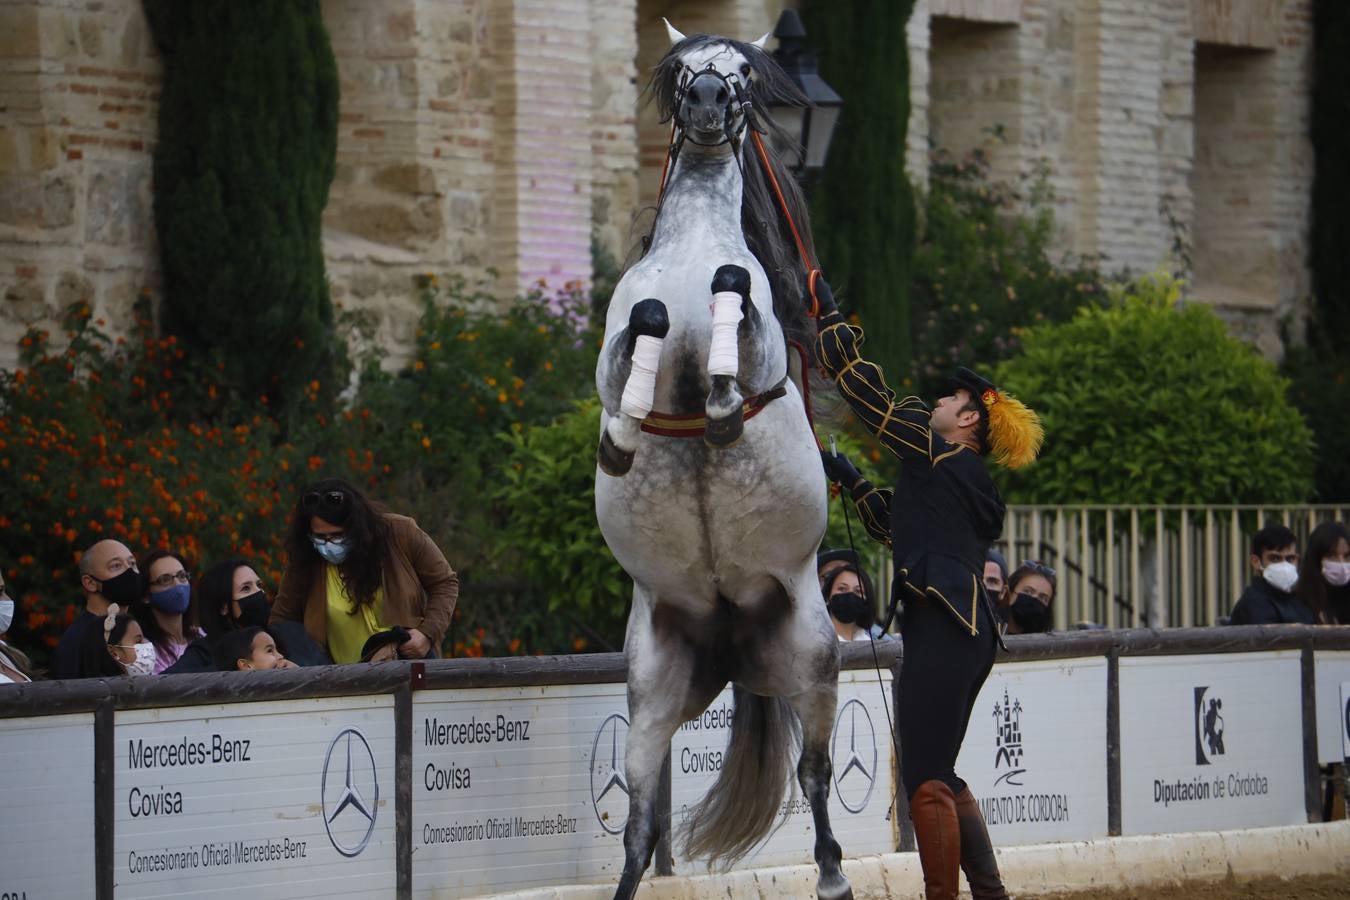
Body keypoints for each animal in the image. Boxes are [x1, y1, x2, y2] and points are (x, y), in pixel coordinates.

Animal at [594, 21, 847, 900]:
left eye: (744, 72)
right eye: (679, 70)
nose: (706, 100)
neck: (693, 246)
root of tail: (735, 644)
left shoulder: (764, 341)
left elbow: (734, 294)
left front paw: (724, 405)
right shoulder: (610, 350)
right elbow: (641, 328)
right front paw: (625, 436)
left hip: (814, 655)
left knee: (815, 775)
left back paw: (833, 873)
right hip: (652, 691)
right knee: (640, 827)